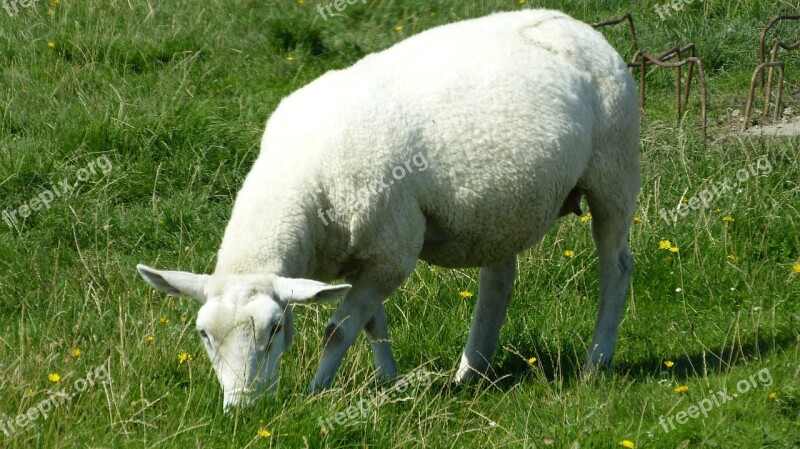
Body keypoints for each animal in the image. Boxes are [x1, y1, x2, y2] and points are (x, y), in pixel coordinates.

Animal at [136, 7, 636, 410]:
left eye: (275, 328)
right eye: (203, 334)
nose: (241, 408)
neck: (301, 180)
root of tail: (571, 23)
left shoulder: (391, 253)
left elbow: (339, 330)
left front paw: (316, 393)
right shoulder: (364, 258)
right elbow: (373, 323)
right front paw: (389, 381)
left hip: (614, 169)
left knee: (616, 266)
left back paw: (595, 361)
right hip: (503, 206)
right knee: (498, 280)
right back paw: (470, 372)